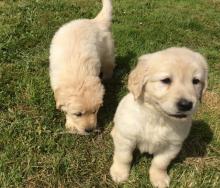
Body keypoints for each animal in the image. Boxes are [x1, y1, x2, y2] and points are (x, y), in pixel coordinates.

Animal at [49, 0, 115, 135]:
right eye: (78, 114)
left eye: (95, 111)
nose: (89, 130)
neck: (77, 75)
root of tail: (94, 21)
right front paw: (70, 124)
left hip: (107, 51)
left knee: (109, 65)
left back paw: (107, 77)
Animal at [110, 47, 208, 187]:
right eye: (166, 80)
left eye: (195, 81)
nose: (186, 104)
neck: (158, 117)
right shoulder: (127, 138)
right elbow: (124, 157)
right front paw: (119, 173)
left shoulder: (172, 146)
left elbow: (160, 163)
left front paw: (159, 178)